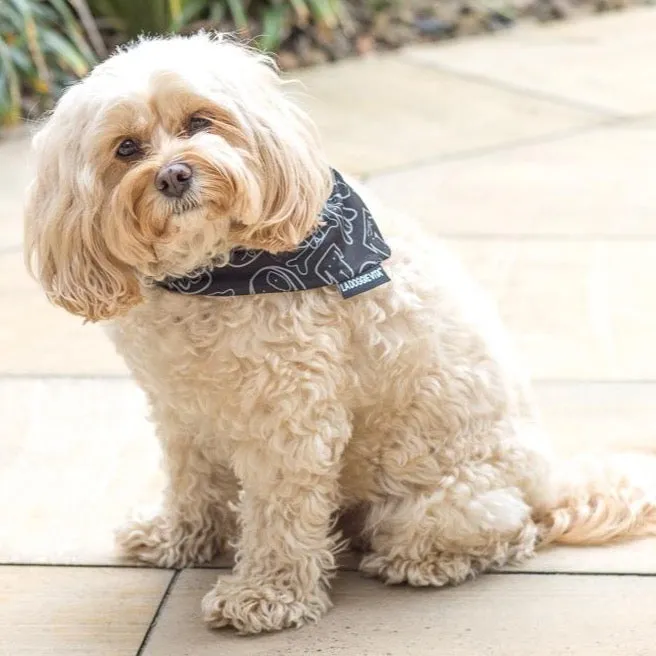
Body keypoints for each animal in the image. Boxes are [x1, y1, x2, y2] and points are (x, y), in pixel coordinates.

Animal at [23, 33, 656, 632]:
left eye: (200, 121)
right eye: (126, 148)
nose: (175, 174)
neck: (213, 275)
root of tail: (549, 483)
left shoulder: (290, 418)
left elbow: (279, 515)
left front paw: (265, 596)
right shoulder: (181, 410)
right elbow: (191, 482)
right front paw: (179, 539)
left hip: (443, 503)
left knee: (510, 533)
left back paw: (420, 562)